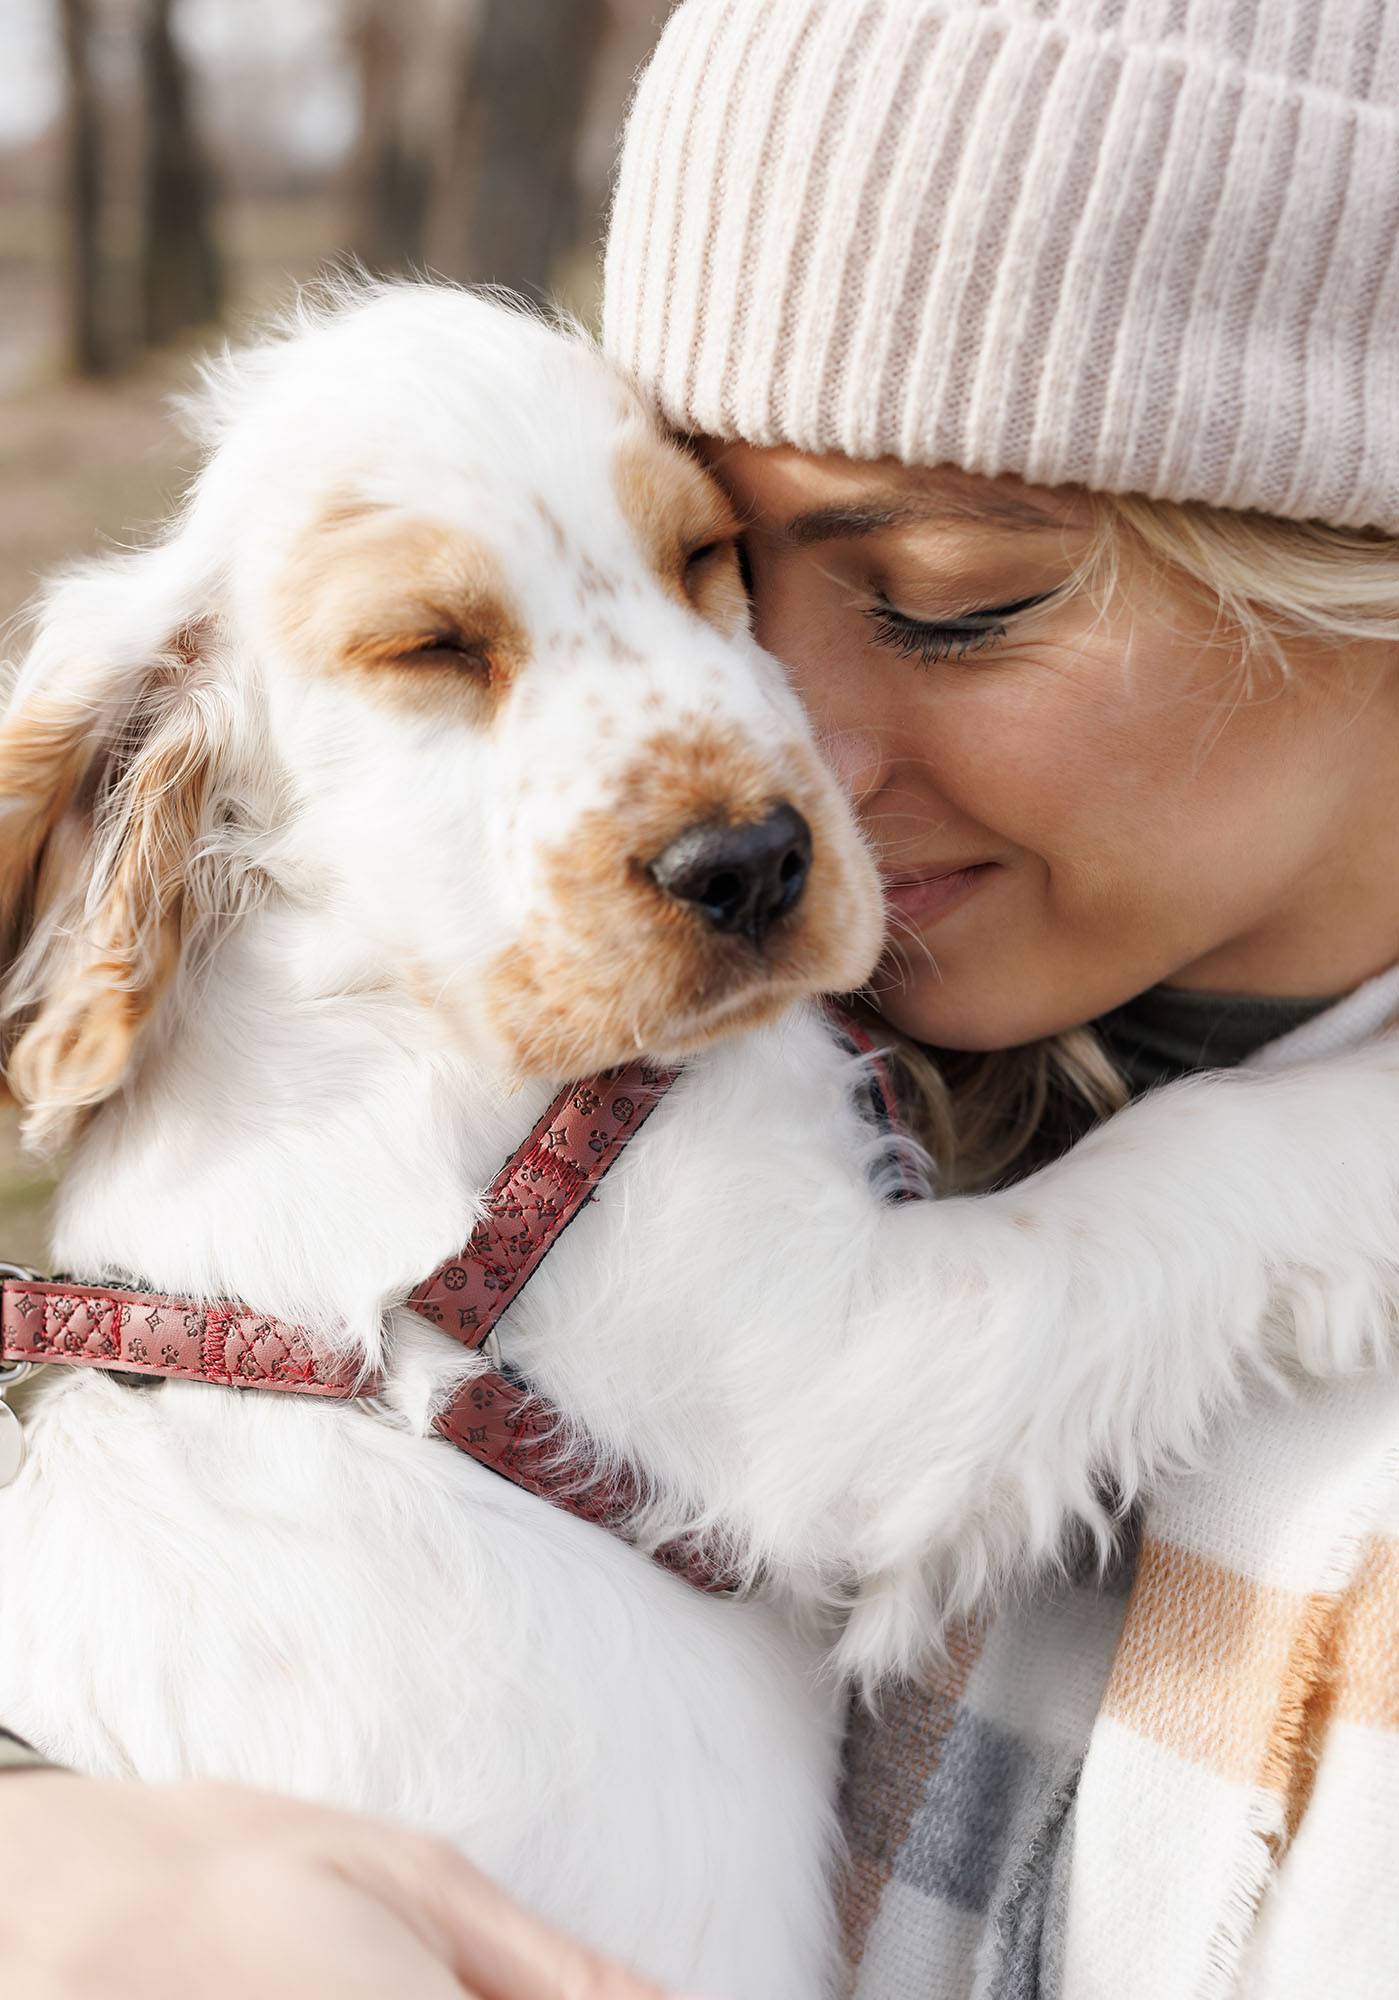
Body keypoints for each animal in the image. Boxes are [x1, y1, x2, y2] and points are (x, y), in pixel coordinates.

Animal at [2, 286, 1399, 2000]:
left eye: (703, 556)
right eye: (427, 647)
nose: (746, 863)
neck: (412, 995)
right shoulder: (837, 1360)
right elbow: (1197, 1151)